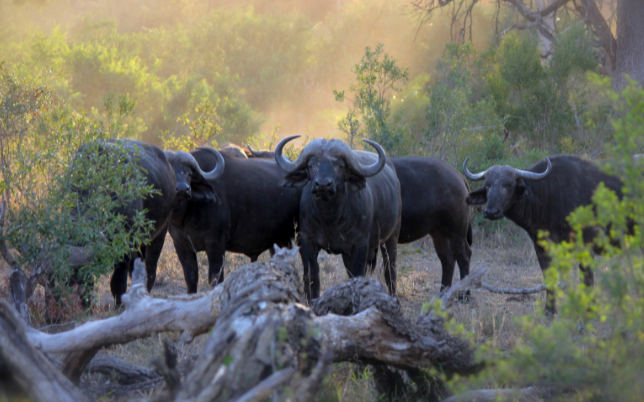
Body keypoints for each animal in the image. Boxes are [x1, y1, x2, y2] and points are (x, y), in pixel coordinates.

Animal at [166, 148, 301, 292]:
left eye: (189, 173)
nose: (183, 189)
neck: (184, 217)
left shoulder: (216, 245)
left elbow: (215, 279)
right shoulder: (182, 247)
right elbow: (191, 279)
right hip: (280, 241)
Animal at [275, 136, 402, 302]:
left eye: (339, 166)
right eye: (311, 165)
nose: (323, 184)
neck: (330, 218)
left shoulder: (361, 245)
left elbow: (357, 276)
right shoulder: (306, 241)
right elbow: (311, 277)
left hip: (391, 237)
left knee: (390, 272)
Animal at [367, 157, 473, 292]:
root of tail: (459, 175)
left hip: (456, 231)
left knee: (464, 255)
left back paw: (465, 293)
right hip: (439, 233)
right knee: (448, 259)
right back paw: (443, 291)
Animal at [463, 155, 623, 314]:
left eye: (509, 185)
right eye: (487, 185)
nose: (491, 212)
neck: (547, 196)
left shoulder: (586, 245)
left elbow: (587, 278)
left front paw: (590, 309)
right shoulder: (541, 247)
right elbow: (549, 277)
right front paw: (550, 309)